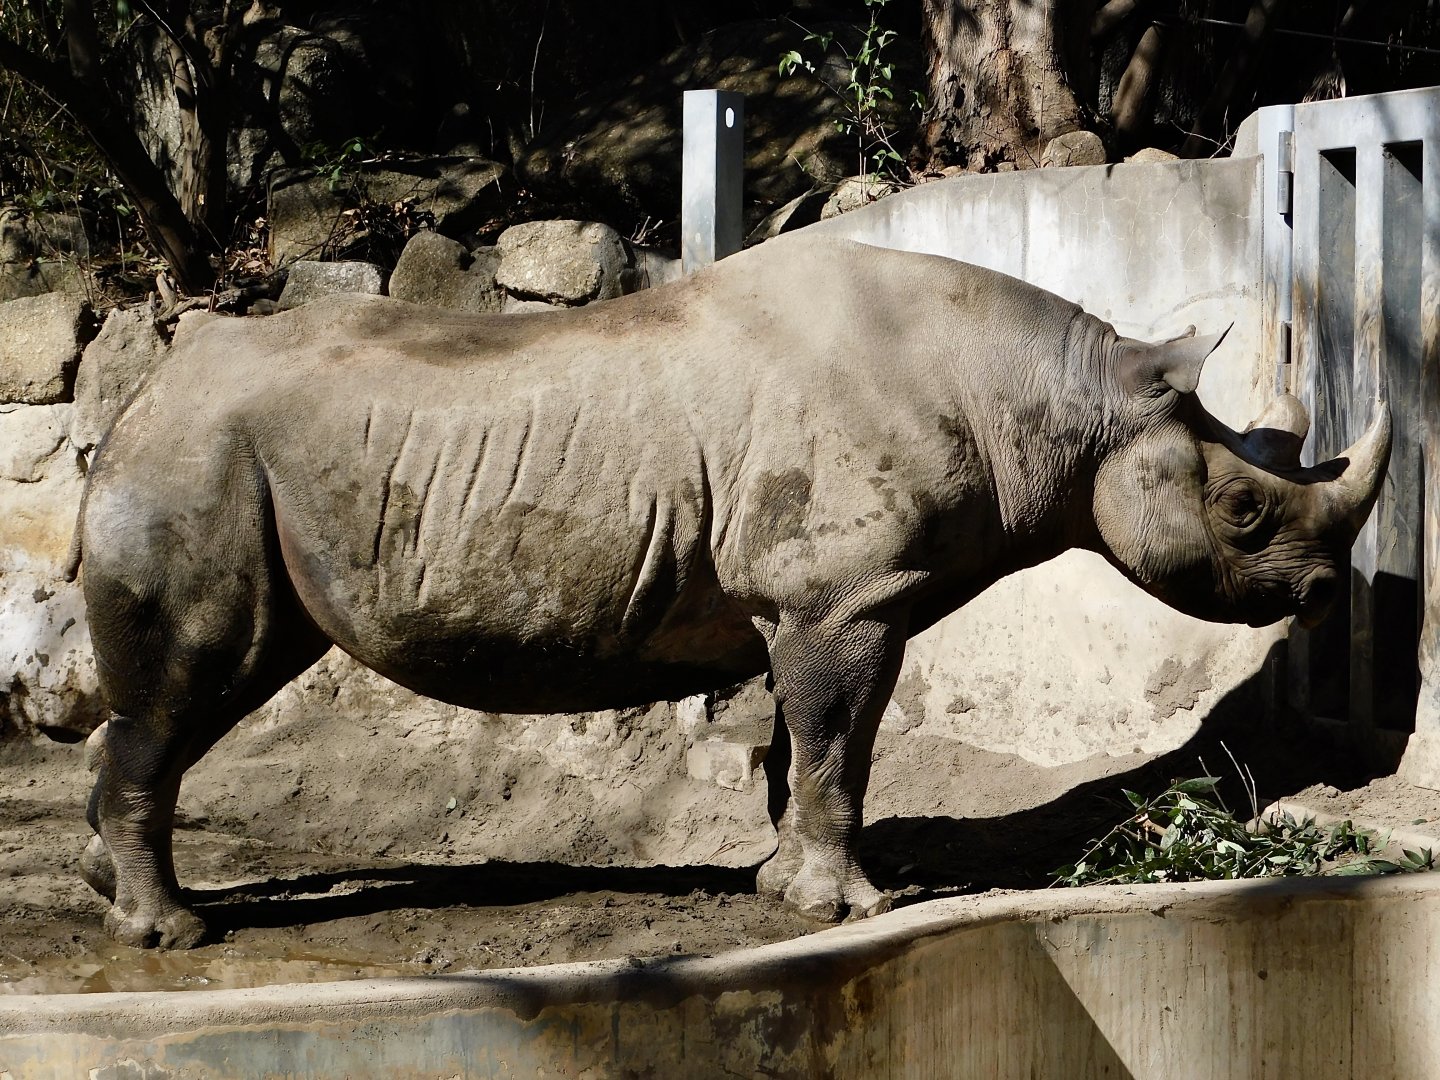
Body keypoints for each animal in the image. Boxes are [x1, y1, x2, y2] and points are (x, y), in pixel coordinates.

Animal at [70, 233, 1389, 948]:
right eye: (1244, 510)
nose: (1328, 594)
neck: (1063, 400)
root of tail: (136, 395)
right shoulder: (848, 593)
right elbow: (841, 742)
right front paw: (843, 908)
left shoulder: (806, 598)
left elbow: (795, 746)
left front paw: (774, 887)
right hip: (199, 457)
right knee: (192, 680)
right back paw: (168, 930)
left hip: (218, 456)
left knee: (199, 686)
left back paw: (106, 888)